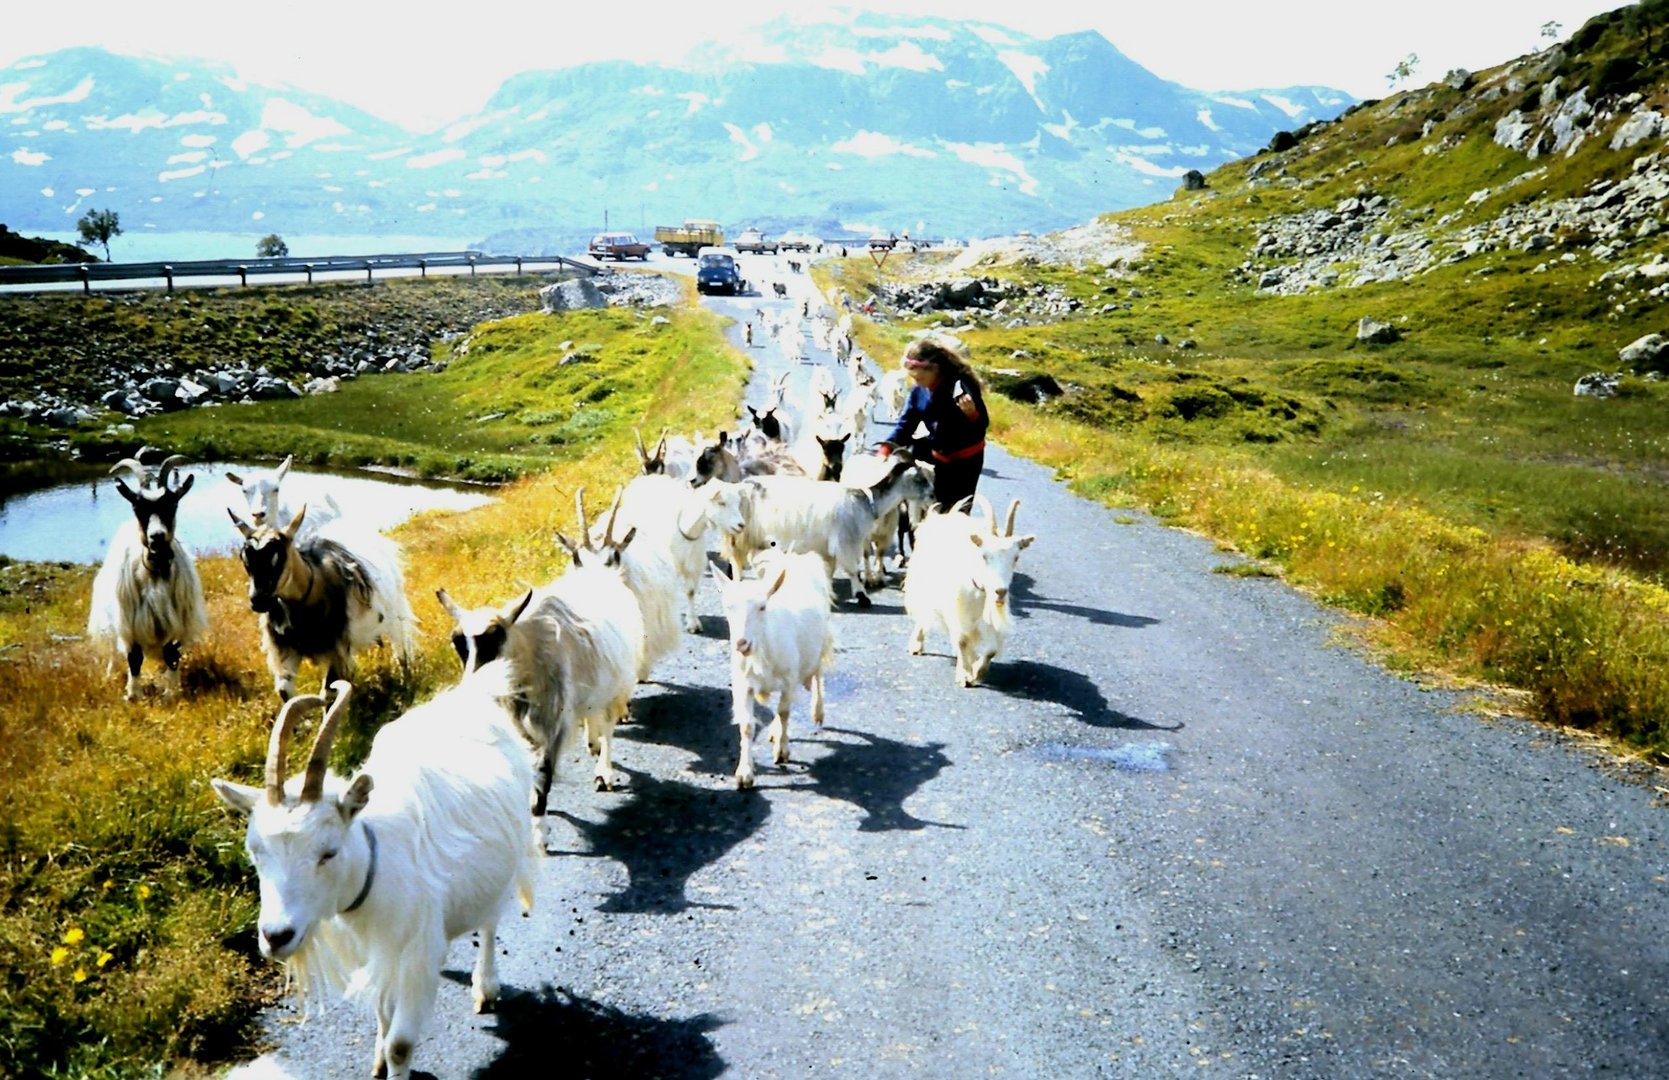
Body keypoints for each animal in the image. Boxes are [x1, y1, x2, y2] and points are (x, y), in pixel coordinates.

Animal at [88, 457, 208, 701]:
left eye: (173, 504)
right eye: (137, 506)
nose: (157, 537)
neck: (156, 572)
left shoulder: (177, 622)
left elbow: (172, 655)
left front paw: (172, 692)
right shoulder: (129, 622)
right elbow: (134, 657)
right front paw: (134, 694)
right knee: (114, 651)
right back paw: (110, 674)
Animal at [710, 554, 834, 791]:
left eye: (762, 607)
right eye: (728, 606)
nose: (741, 643)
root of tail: (798, 558)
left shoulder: (789, 680)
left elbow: (784, 713)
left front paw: (782, 751)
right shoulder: (743, 685)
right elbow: (747, 726)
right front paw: (745, 773)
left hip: (820, 643)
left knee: (817, 674)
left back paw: (817, 711)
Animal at [901, 497, 1028, 687]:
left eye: (1016, 557)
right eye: (984, 556)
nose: (1000, 591)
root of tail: (942, 516)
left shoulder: (987, 620)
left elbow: (990, 649)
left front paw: (978, 671)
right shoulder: (956, 612)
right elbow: (961, 641)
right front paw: (964, 675)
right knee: (924, 616)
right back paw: (916, 645)